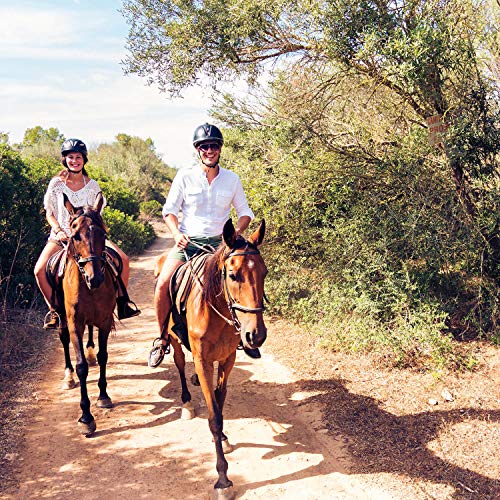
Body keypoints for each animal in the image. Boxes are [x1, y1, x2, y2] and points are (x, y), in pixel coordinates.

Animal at [162, 220, 268, 500]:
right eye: (233, 275)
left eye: (264, 273)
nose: (256, 335)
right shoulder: (203, 360)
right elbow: (214, 416)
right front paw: (223, 479)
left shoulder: (228, 359)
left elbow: (219, 403)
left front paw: (222, 438)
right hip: (173, 340)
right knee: (179, 363)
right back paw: (187, 403)